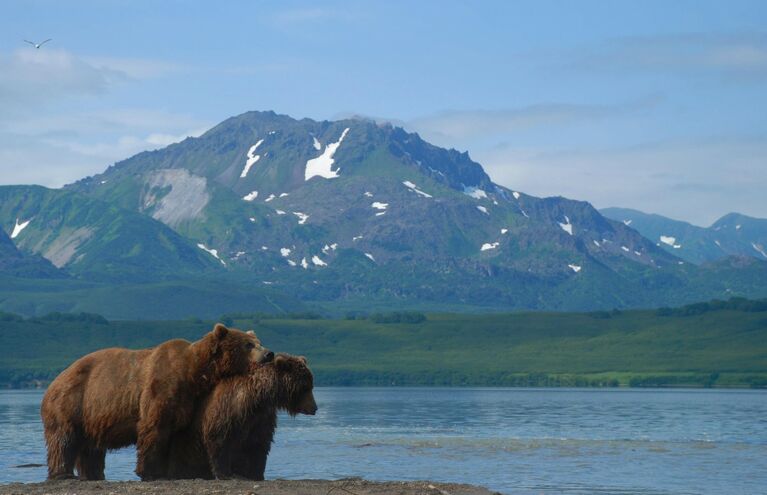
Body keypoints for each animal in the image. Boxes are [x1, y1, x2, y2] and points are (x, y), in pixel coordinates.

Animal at [41, 324, 272, 482]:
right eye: (248, 344)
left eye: (259, 341)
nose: (269, 353)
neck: (194, 372)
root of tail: (53, 382)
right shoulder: (161, 386)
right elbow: (155, 427)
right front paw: (150, 472)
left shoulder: (186, 402)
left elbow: (177, 435)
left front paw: (171, 471)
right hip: (70, 403)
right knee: (64, 439)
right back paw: (63, 473)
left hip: (92, 416)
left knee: (91, 448)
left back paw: (93, 474)